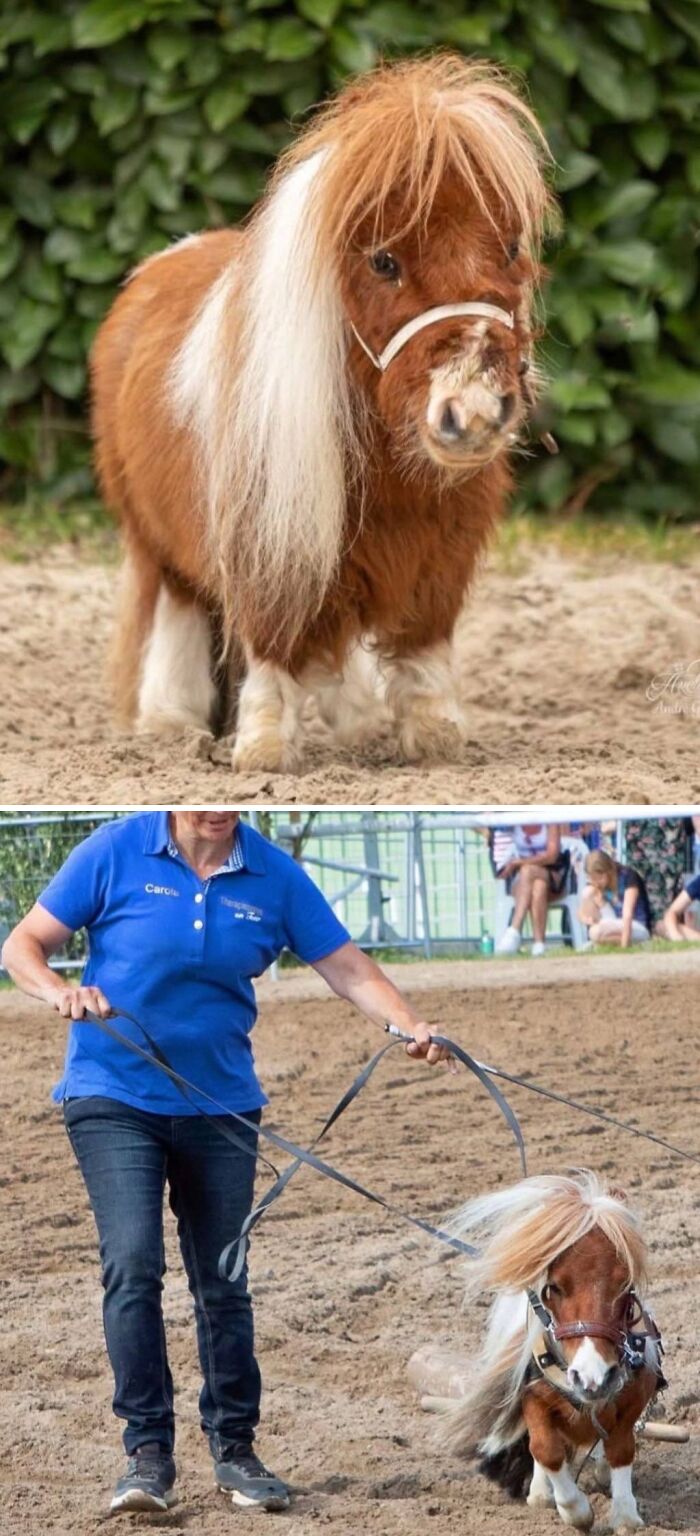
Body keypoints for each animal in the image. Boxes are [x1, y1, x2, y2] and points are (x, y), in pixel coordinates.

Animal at [91, 53, 553, 772]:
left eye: (508, 249)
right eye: (384, 261)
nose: (473, 412)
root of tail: (156, 268)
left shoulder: (440, 550)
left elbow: (421, 647)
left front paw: (433, 738)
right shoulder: (268, 540)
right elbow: (272, 645)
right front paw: (263, 749)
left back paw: (354, 723)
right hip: (153, 537)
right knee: (181, 610)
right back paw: (172, 723)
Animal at [422, 1173, 663, 1531]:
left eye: (625, 1284)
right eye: (554, 1287)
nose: (593, 1377)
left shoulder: (634, 1397)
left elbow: (621, 1448)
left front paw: (625, 1514)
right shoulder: (531, 1396)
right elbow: (545, 1449)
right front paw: (575, 1510)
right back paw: (541, 1491)